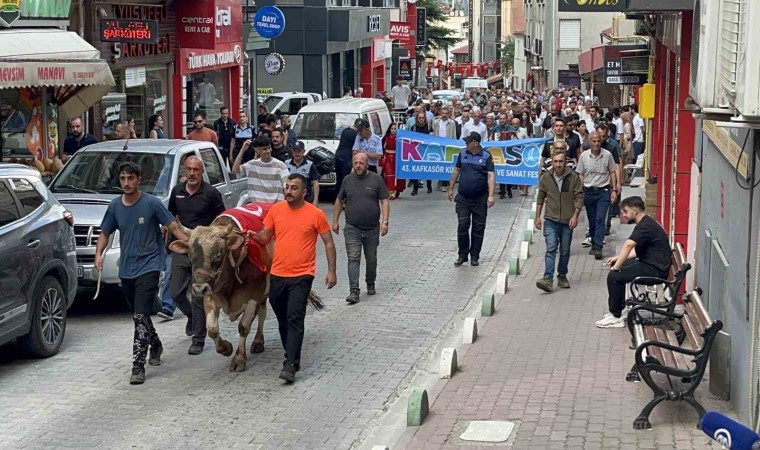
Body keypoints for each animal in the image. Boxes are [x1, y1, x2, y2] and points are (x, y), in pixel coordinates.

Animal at [169, 218, 270, 372]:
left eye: (218, 255)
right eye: (190, 256)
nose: (199, 288)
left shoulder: (254, 296)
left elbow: (243, 327)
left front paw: (239, 358)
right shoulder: (210, 297)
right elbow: (212, 329)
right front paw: (225, 348)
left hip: (264, 293)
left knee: (262, 314)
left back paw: (258, 341)